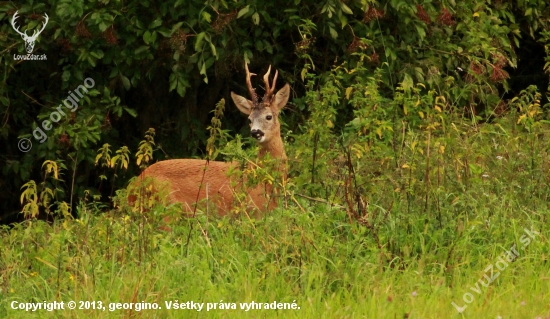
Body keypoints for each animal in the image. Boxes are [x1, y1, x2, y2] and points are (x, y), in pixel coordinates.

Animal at [132, 63, 292, 216]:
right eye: (249, 120)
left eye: (268, 116)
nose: (255, 132)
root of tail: (132, 188)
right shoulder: (252, 210)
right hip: (166, 208)